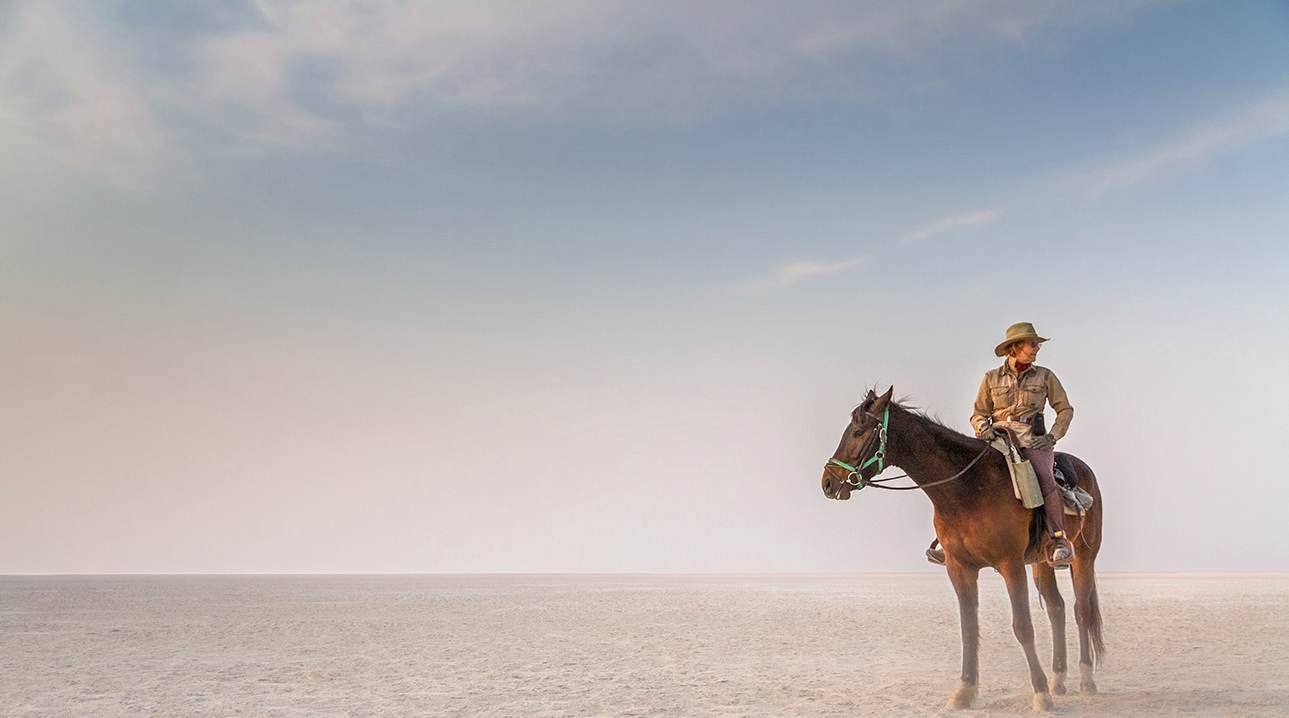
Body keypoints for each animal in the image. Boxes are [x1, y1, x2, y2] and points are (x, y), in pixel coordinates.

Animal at [819, 384, 1103, 706]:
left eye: (858, 431)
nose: (828, 482)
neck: (967, 489)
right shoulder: (959, 567)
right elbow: (968, 628)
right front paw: (964, 690)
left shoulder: (1011, 565)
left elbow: (1022, 626)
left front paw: (1040, 694)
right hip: (1041, 563)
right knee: (1057, 608)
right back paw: (1058, 679)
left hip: (1084, 556)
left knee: (1082, 610)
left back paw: (1086, 679)